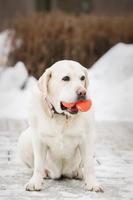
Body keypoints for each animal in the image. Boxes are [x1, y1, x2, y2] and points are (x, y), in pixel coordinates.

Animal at [17, 59, 103, 192]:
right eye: (66, 78)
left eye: (82, 78)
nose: (82, 92)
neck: (62, 117)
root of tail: (61, 173)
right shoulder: (38, 139)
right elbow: (38, 164)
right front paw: (35, 182)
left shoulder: (87, 138)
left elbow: (89, 164)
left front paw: (93, 184)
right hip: (24, 139)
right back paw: (45, 173)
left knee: (81, 166)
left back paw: (78, 173)